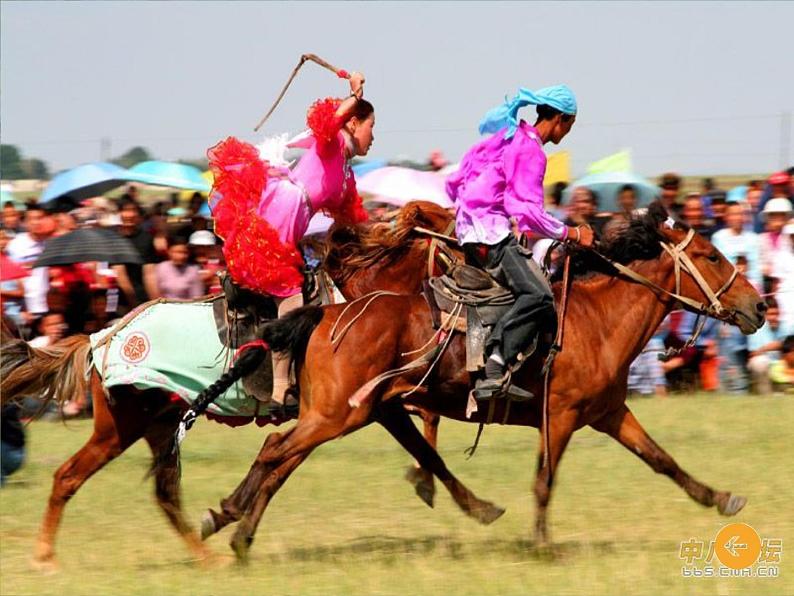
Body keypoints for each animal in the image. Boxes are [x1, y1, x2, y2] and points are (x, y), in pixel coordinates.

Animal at [0, 201, 458, 572]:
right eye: (458, 242)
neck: (353, 304)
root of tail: (102, 338)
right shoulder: (352, 407)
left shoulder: (342, 411)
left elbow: (280, 468)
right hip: (118, 426)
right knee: (69, 477)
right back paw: (45, 556)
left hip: (158, 424)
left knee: (165, 494)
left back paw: (206, 556)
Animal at [200, 204, 768, 560]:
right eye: (712, 256)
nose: (759, 306)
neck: (598, 320)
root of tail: (324, 313)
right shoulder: (560, 416)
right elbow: (544, 479)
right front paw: (542, 545)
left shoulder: (608, 414)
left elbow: (662, 461)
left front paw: (721, 498)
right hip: (337, 414)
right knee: (275, 450)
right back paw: (227, 519)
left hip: (344, 413)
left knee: (280, 460)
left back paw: (237, 531)